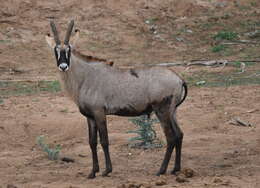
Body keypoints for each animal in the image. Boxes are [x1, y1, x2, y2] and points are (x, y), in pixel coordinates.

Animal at [45, 19, 188, 178]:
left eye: (69, 50)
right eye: (56, 50)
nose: (63, 66)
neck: (85, 76)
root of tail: (179, 79)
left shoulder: (99, 113)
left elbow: (104, 141)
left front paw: (107, 170)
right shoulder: (90, 117)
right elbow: (92, 142)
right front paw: (93, 172)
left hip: (162, 111)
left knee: (171, 137)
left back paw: (161, 170)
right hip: (172, 112)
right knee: (179, 135)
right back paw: (175, 169)